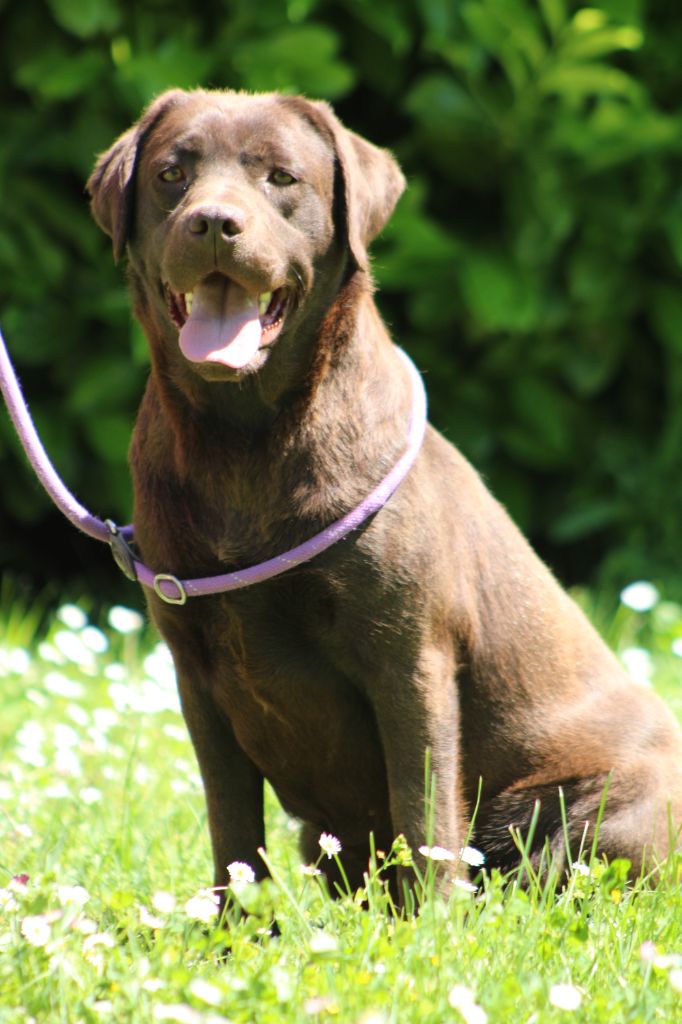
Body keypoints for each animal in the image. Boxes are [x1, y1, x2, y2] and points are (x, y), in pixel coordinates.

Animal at [86, 90, 679, 897]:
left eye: (281, 177)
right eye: (172, 174)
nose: (212, 222)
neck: (245, 439)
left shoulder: (409, 654)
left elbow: (424, 808)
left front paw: (434, 922)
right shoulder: (195, 669)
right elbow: (234, 834)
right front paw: (233, 926)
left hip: (611, 809)